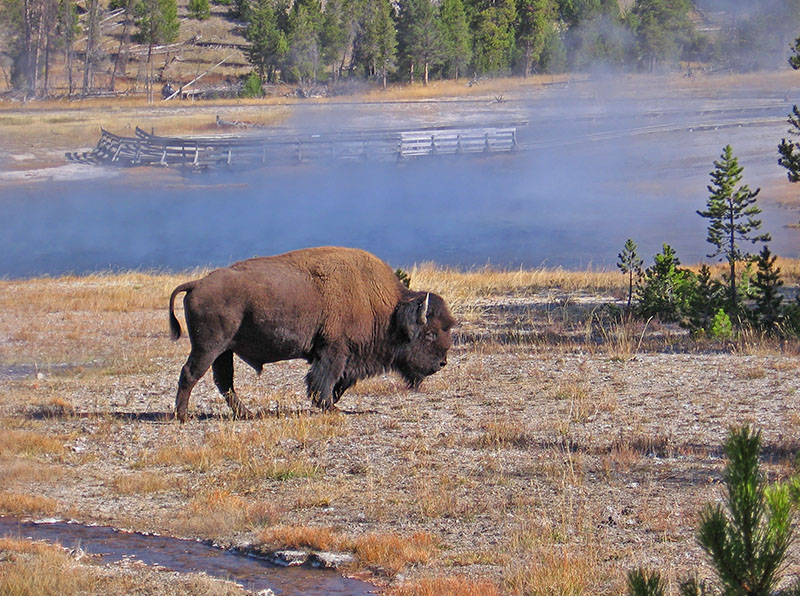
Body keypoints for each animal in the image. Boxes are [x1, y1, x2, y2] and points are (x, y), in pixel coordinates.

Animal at [168, 246, 455, 422]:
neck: (385, 306)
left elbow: (339, 382)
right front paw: (330, 407)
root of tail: (197, 283)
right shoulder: (334, 351)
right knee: (190, 373)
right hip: (209, 347)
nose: (442, 363)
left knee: (223, 381)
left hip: (224, 350)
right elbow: (324, 380)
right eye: (429, 334)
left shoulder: (346, 358)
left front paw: (330, 404)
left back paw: (246, 413)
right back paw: (182, 416)